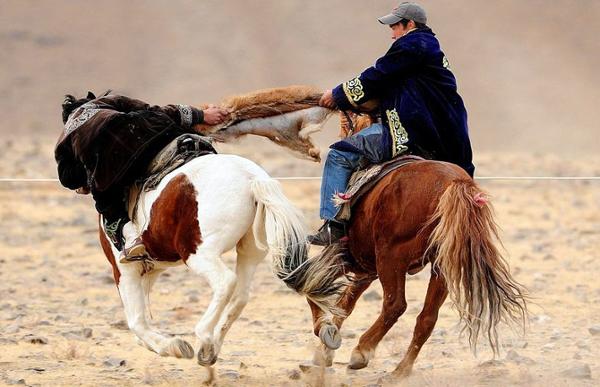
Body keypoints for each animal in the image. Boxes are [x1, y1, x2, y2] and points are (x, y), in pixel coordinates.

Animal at [99, 87, 342, 372]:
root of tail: (252, 179)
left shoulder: (124, 268)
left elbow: (137, 321)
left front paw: (174, 347)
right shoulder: (150, 267)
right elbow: (142, 321)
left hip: (199, 254)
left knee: (225, 282)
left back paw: (203, 338)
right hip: (250, 251)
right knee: (241, 295)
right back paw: (211, 348)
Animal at [304, 112, 524, 378]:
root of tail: (454, 184)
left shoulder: (345, 256)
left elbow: (312, 287)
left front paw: (325, 335)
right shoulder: (366, 269)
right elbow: (345, 302)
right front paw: (326, 350)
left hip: (391, 259)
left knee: (395, 305)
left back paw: (362, 352)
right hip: (440, 266)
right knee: (427, 317)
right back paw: (401, 370)